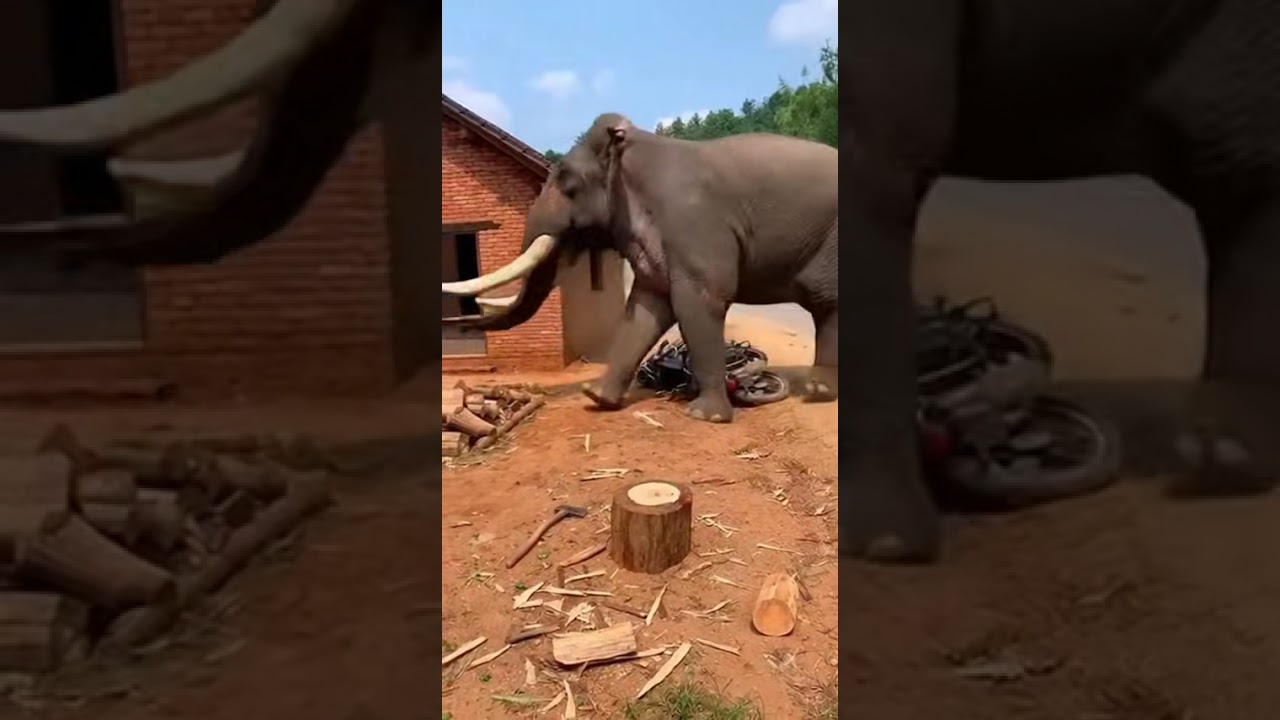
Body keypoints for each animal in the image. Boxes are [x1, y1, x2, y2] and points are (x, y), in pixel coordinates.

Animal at [441, 113, 839, 423]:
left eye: (567, 180)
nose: (461, 319)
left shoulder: (694, 225)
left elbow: (699, 301)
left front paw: (705, 416)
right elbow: (646, 307)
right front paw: (596, 397)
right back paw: (821, 389)